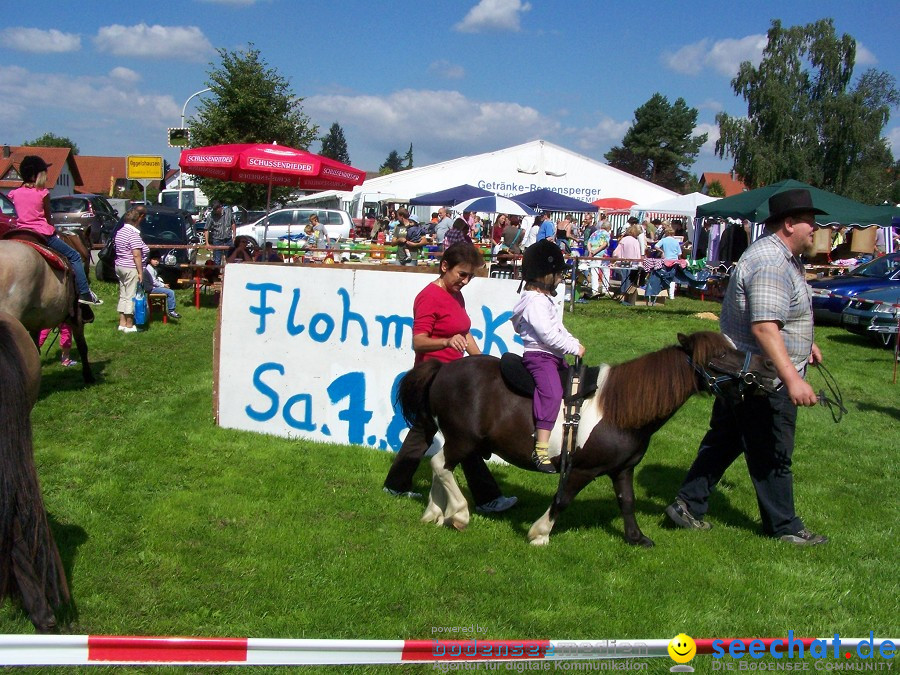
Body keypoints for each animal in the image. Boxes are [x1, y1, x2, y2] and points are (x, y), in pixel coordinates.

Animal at [396, 332, 768, 548]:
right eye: (720, 355)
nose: (766, 368)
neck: (619, 408)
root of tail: (442, 370)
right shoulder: (582, 470)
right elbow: (562, 500)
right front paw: (539, 533)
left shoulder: (622, 469)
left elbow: (627, 502)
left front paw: (636, 538)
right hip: (463, 440)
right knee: (440, 464)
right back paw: (458, 514)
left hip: (456, 439)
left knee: (440, 467)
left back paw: (434, 513)